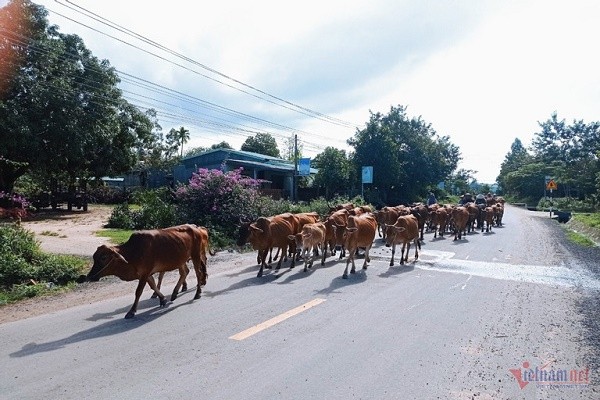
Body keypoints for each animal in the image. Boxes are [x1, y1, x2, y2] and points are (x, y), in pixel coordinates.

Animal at [78, 225, 209, 318]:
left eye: (104, 257)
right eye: (94, 257)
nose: (89, 276)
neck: (132, 253)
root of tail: (197, 228)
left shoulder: (144, 274)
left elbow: (138, 292)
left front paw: (131, 311)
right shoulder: (146, 274)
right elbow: (153, 286)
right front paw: (162, 299)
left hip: (196, 256)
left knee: (198, 273)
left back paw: (197, 293)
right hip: (181, 260)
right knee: (185, 272)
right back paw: (175, 293)